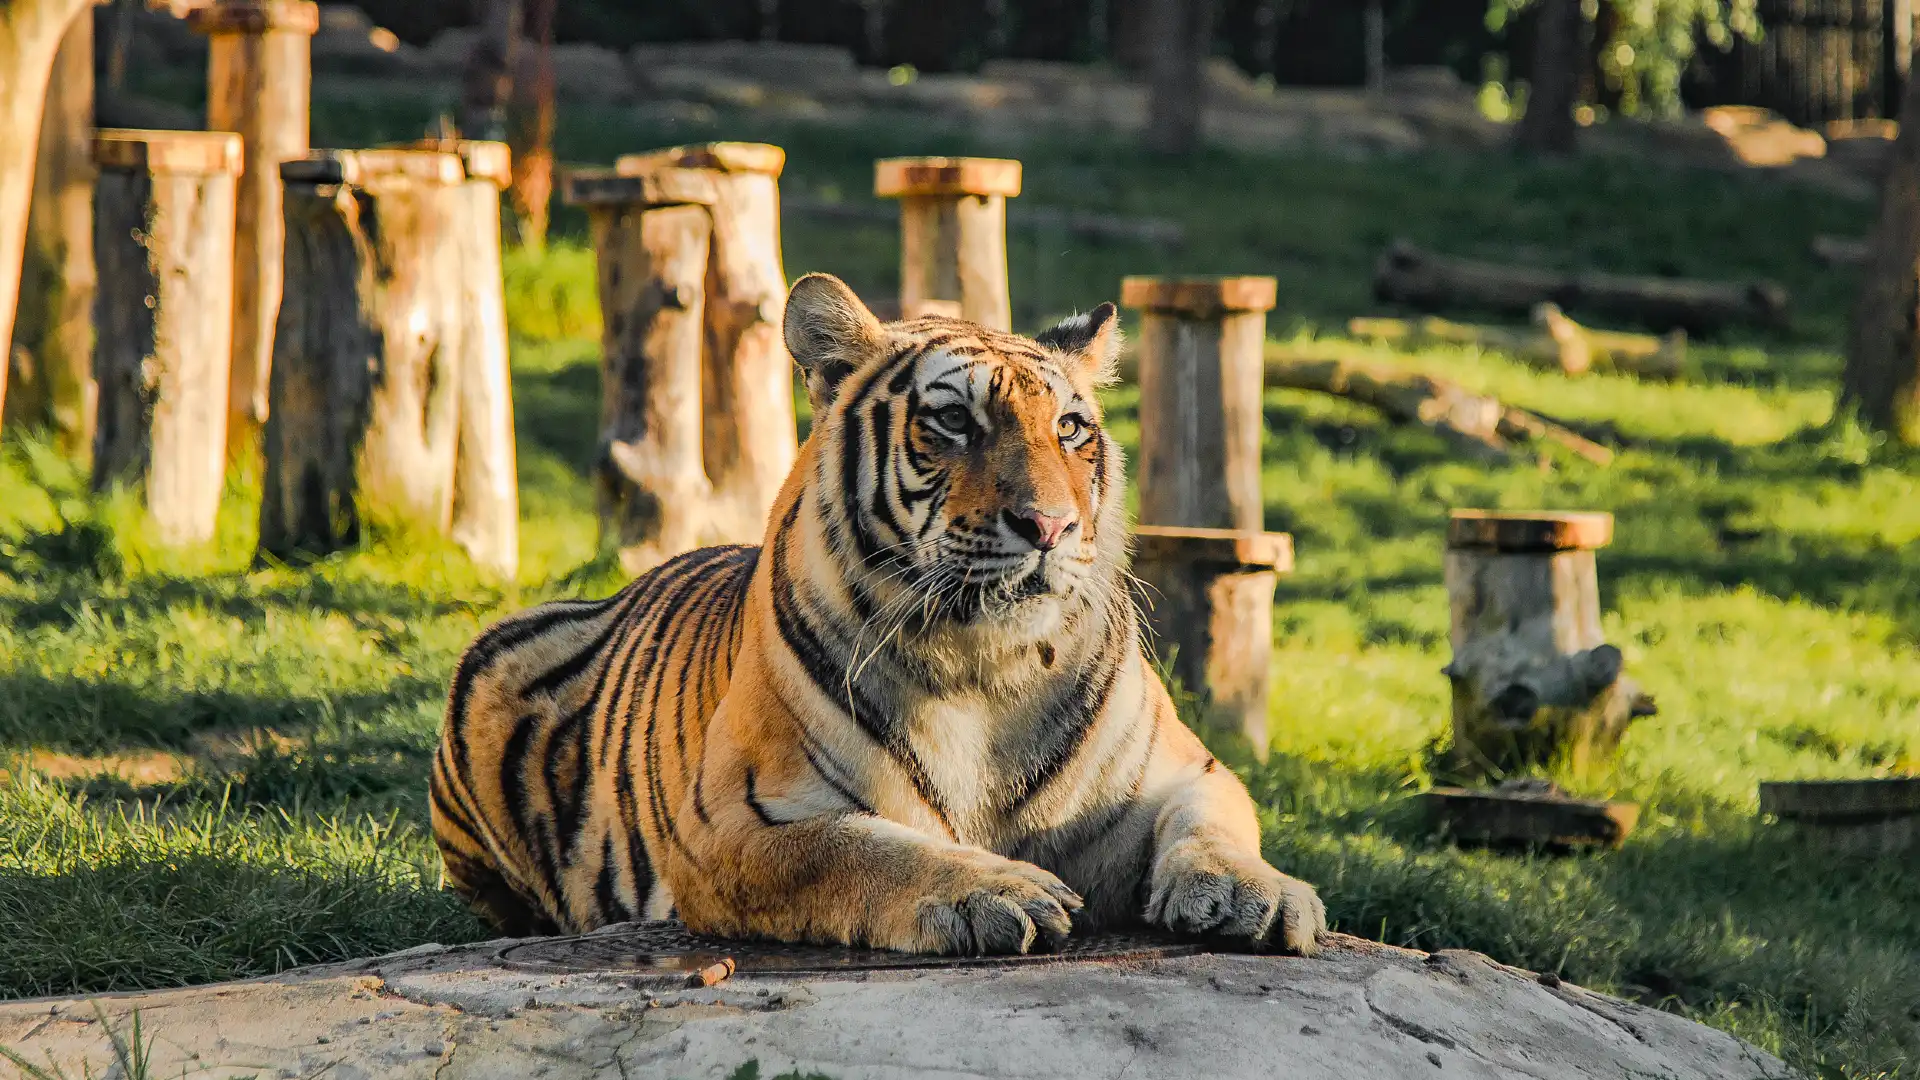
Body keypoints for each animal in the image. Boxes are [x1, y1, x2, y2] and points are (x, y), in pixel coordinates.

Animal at [428, 272, 1327, 956]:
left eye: (1070, 428)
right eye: (955, 420)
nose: (1050, 526)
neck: (987, 666)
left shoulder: (1184, 770)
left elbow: (1215, 824)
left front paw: (1261, 896)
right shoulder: (733, 822)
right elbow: (863, 851)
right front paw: (996, 891)